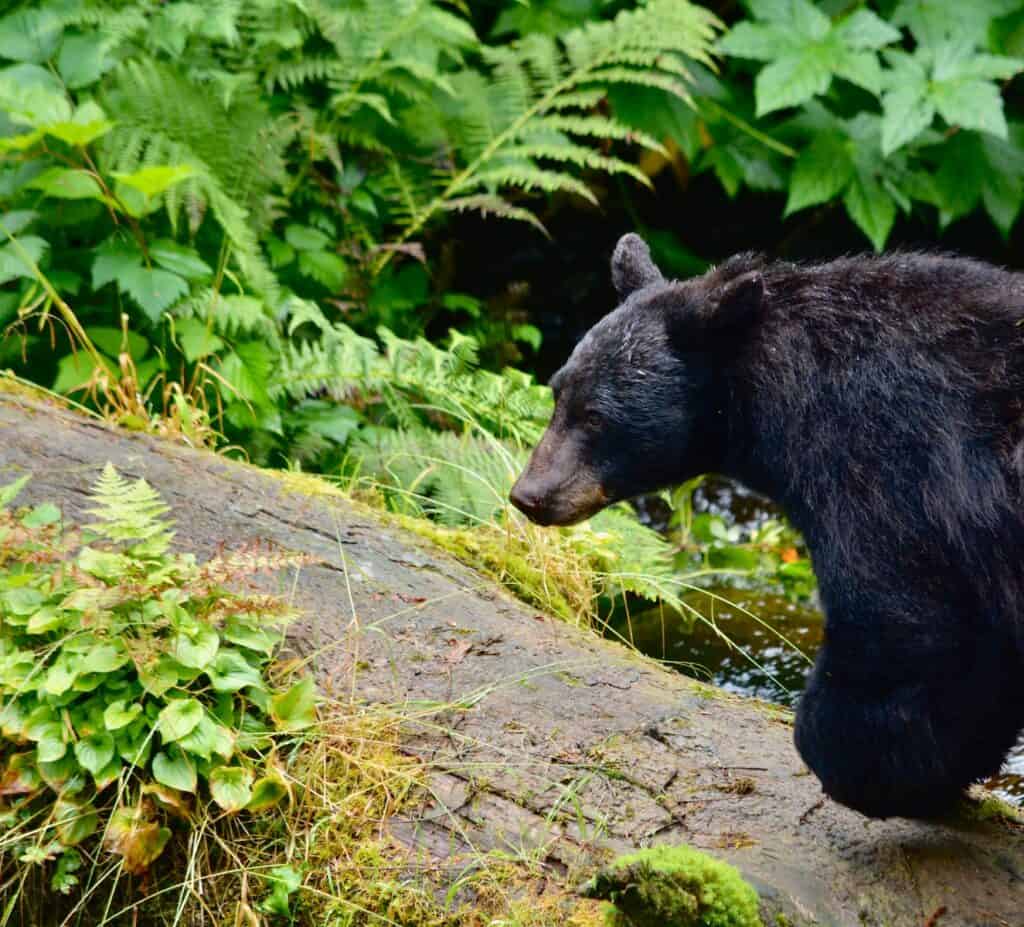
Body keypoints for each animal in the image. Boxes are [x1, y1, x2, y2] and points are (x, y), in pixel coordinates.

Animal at [512, 233, 1024, 819]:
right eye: (557, 392)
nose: (529, 494)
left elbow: (904, 618)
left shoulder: (884, 463)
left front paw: (871, 769)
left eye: (596, 415)